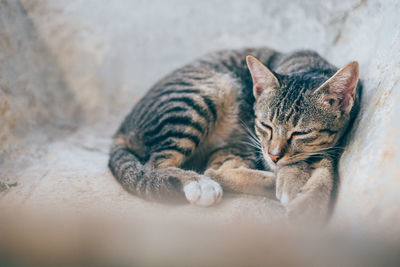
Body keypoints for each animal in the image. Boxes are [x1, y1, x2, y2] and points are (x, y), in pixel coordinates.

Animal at [108, 47, 360, 220]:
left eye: (301, 133)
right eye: (265, 125)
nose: (274, 155)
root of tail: (121, 128)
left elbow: (325, 169)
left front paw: (310, 200)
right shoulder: (258, 144)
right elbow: (297, 164)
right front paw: (293, 181)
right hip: (205, 94)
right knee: (162, 165)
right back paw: (200, 183)